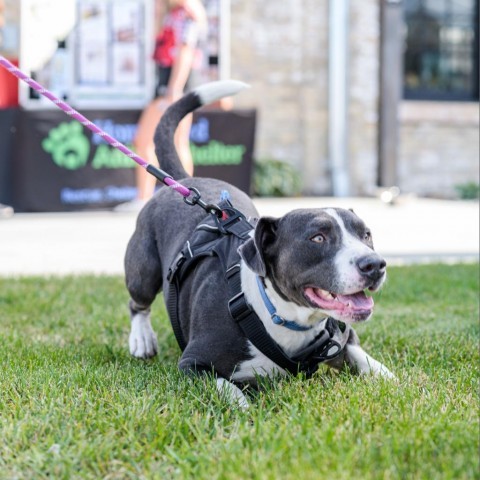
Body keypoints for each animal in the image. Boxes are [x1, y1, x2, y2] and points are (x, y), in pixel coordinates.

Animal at [124, 80, 394, 406]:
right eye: (317, 238)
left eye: (366, 235)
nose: (375, 265)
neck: (284, 317)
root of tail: (186, 182)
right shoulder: (193, 364)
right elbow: (229, 389)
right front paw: (244, 408)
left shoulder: (342, 339)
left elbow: (368, 361)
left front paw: (396, 380)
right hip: (143, 269)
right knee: (138, 302)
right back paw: (141, 339)